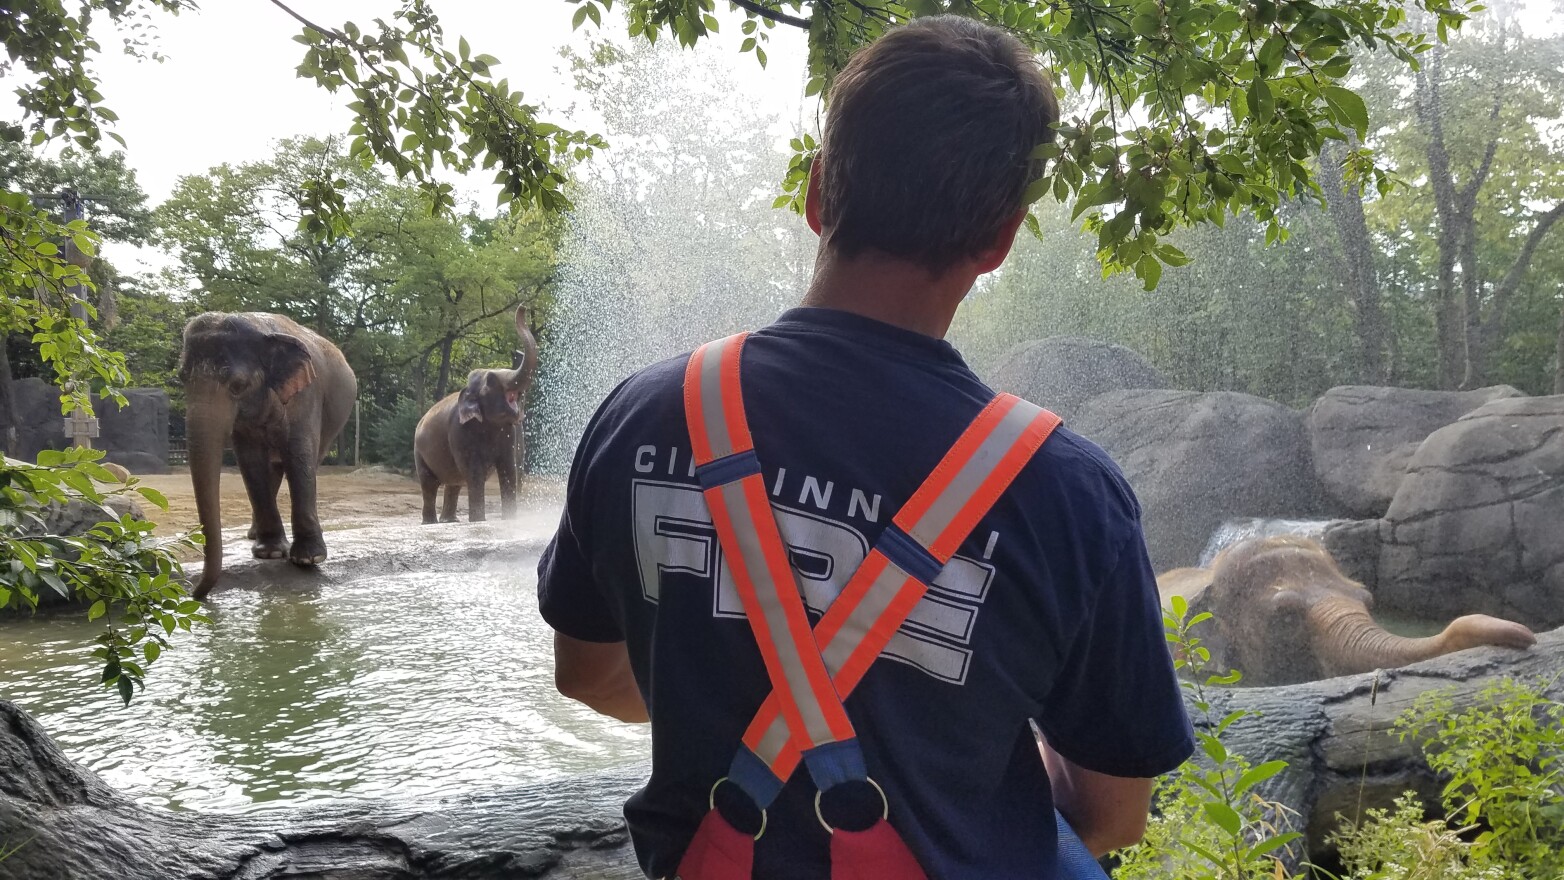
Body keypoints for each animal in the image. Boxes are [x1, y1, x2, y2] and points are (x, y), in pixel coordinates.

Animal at [178, 312, 357, 599]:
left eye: (238, 385)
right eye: (182, 378)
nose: (194, 594)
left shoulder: (305, 395)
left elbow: (299, 455)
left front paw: (309, 559)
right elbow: (251, 462)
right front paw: (270, 553)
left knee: (308, 460)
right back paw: (255, 535)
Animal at [412, 308, 538, 523]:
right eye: (491, 380)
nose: (522, 307)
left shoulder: (509, 433)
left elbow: (508, 468)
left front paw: (509, 520)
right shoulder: (459, 431)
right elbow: (474, 471)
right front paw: (479, 521)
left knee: (454, 483)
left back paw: (449, 521)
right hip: (419, 452)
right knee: (429, 484)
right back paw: (431, 523)